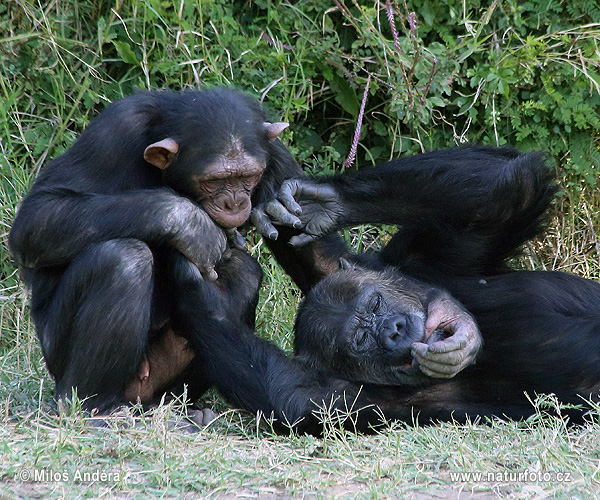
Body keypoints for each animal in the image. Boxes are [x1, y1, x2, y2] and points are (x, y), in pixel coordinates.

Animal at [268, 147, 600, 426]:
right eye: (361, 339)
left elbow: (509, 192)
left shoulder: (419, 258)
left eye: (375, 304)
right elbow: (293, 399)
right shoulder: (350, 398)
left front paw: (326, 202)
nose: (394, 328)